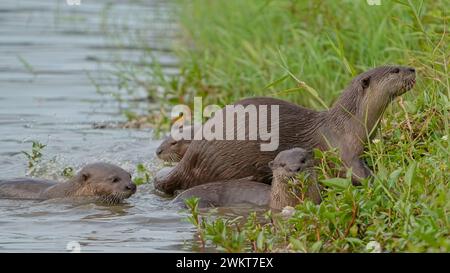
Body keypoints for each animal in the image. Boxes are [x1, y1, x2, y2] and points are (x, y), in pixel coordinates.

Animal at [156, 65, 416, 193]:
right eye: (394, 70)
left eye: (399, 65)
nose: (412, 69)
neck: (349, 124)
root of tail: (190, 157)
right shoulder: (342, 150)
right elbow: (358, 174)